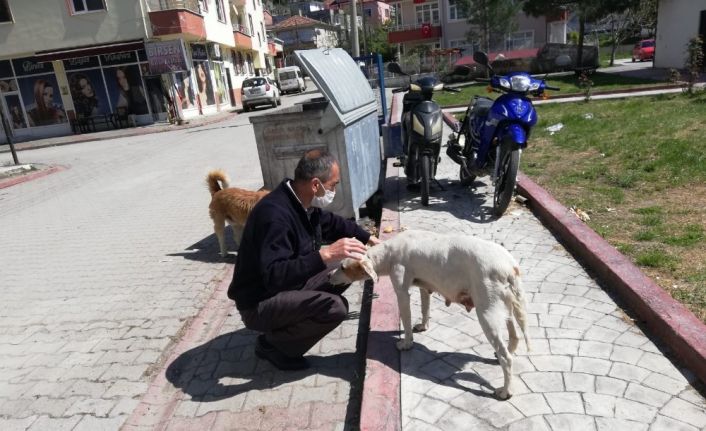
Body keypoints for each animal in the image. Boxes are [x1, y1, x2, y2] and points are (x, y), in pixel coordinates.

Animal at [330, 231, 528, 400]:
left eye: (342, 266)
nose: (329, 275)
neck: (389, 252)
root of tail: (510, 266)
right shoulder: (425, 288)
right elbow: (425, 309)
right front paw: (423, 326)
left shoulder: (402, 293)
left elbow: (406, 321)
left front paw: (406, 343)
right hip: (505, 309)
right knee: (514, 337)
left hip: (487, 315)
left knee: (506, 359)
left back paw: (505, 391)